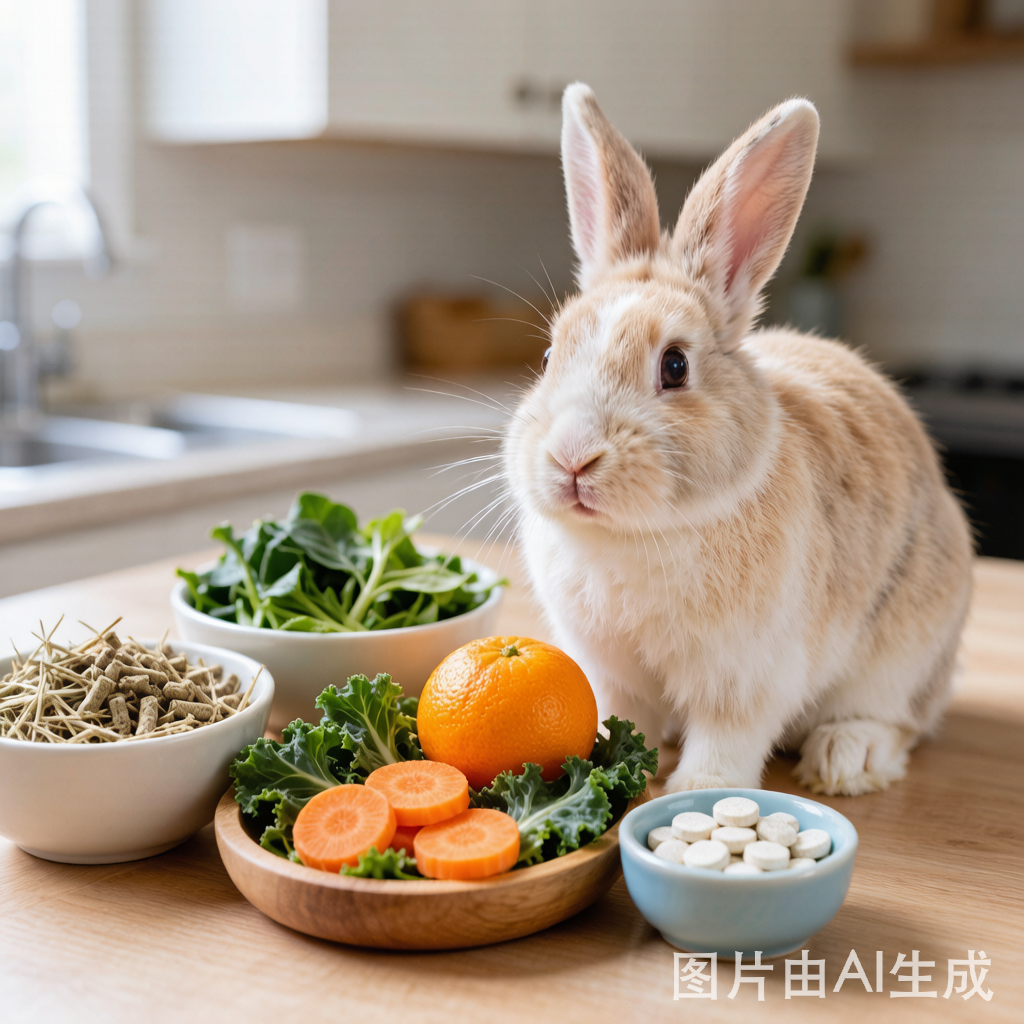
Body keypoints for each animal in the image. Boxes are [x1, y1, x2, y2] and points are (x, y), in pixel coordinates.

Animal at [502, 84, 973, 796]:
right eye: (552, 353)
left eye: (674, 366)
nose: (572, 459)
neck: (634, 535)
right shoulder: (609, 669)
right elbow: (617, 714)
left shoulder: (747, 675)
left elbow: (729, 736)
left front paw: (696, 791)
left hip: (905, 651)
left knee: (900, 721)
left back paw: (846, 758)